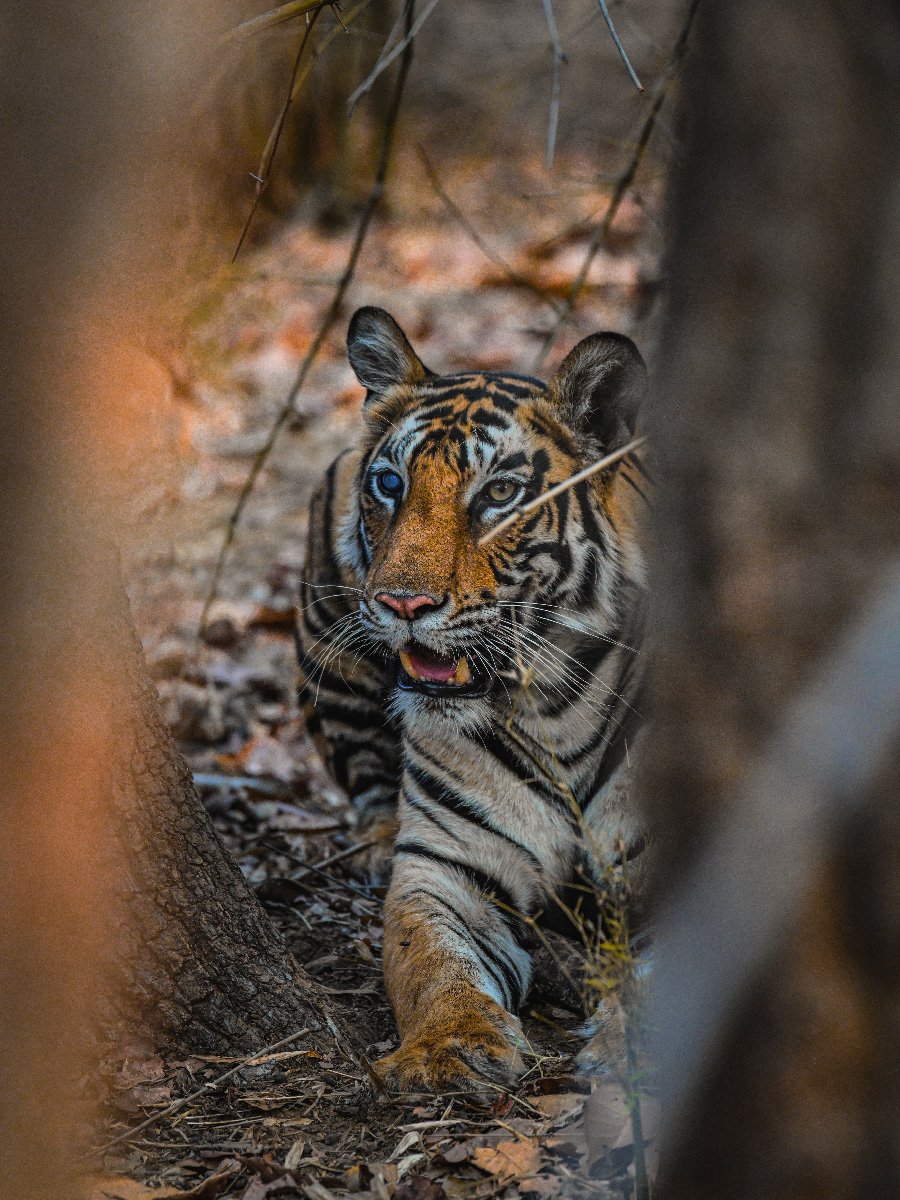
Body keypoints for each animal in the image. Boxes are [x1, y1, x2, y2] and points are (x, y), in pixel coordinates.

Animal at [296, 306, 650, 1092]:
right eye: (390, 484)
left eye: (497, 495)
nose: (402, 603)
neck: (553, 708)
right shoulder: (446, 868)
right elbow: (429, 960)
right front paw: (450, 1048)